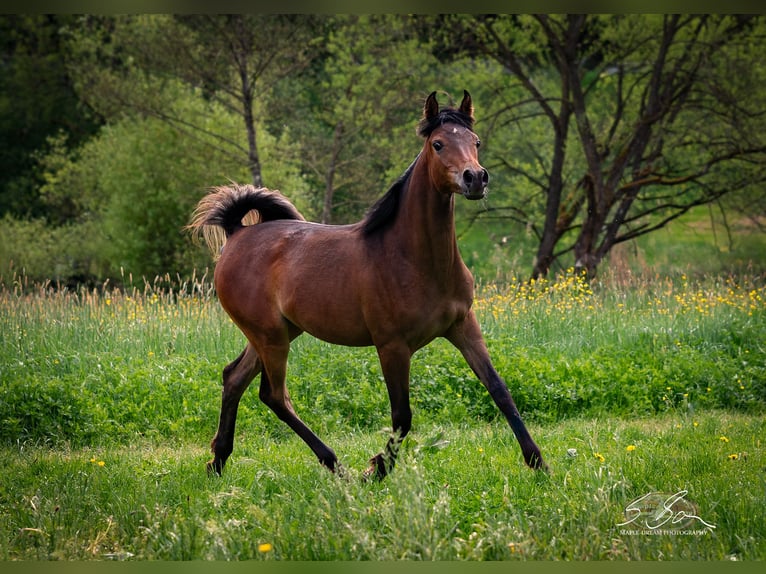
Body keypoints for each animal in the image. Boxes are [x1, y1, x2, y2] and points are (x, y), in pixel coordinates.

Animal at [188, 90, 547, 480]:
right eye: (437, 144)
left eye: (475, 141)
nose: (475, 178)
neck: (415, 260)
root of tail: (237, 233)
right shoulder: (392, 346)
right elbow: (402, 416)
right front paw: (377, 468)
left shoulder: (463, 326)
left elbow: (500, 390)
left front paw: (538, 462)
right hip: (270, 337)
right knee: (274, 395)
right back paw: (336, 465)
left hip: (278, 333)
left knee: (234, 378)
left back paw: (218, 461)